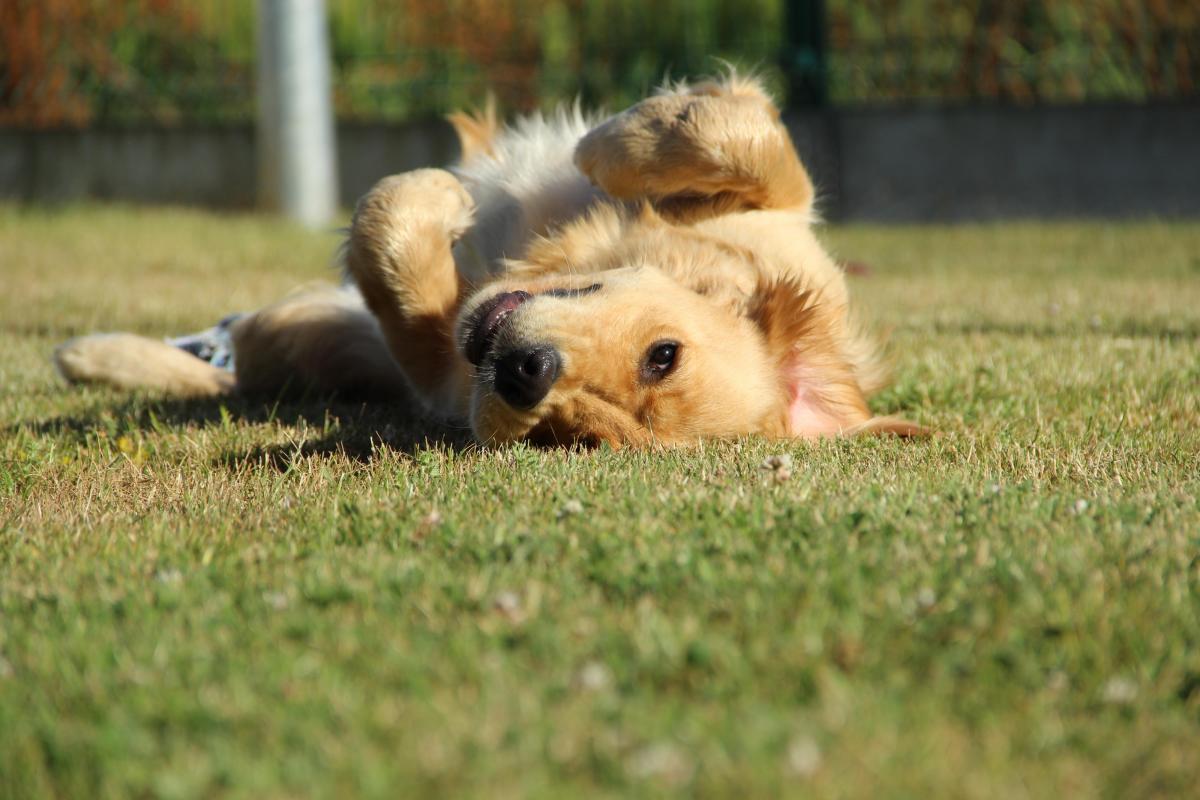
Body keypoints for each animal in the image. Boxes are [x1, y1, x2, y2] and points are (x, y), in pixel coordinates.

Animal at [54, 73, 916, 450]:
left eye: (575, 436)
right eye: (662, 356)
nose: (527, 377)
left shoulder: (439, 369)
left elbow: (391, 245)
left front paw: (432, 200)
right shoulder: (788, 218)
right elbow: (735, 132)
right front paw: (612, 142)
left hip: (322, 340)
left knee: (246, 360)